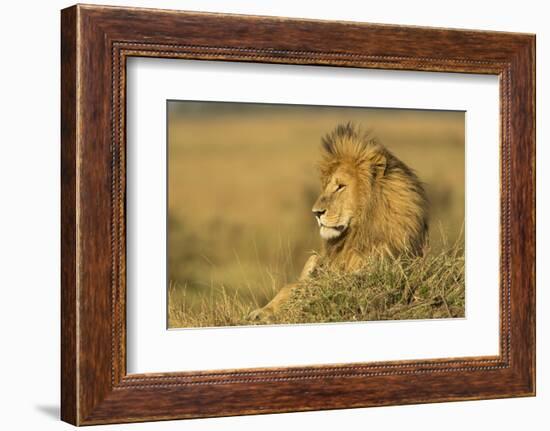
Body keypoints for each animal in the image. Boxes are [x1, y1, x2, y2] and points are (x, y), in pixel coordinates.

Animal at [251, 123, 432, 322]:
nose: (316, 213)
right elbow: (291, 287)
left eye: (340, 186)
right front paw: (262, 312)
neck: (357, 234)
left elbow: (305, 291)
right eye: (326, 186)